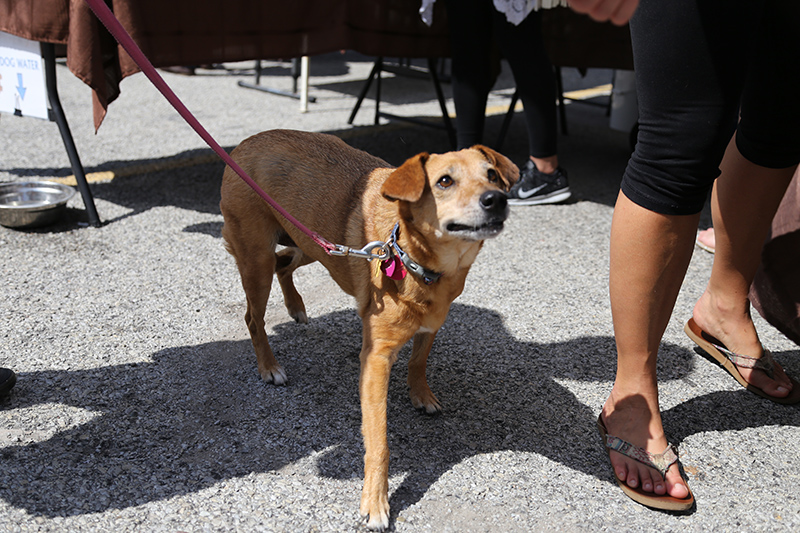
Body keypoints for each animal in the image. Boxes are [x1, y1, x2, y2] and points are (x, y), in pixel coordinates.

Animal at [220, 128, 520, 528]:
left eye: (492, 175)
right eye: (444, 181)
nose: (497, 199)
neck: (414, 258)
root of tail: (247, 141)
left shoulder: (431, 326)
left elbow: (418, 362)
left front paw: (421, 395)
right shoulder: (376, 360)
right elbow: (379, 442)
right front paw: (375, 502)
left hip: (314, 244)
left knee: (285, 264)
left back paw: (296, 305)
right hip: (258, 260)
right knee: (254, 317)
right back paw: (269, 366)